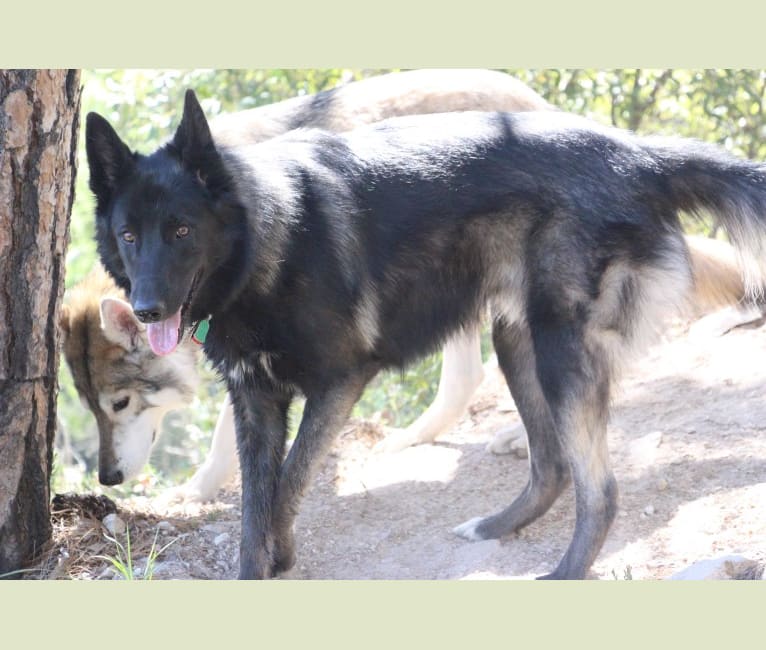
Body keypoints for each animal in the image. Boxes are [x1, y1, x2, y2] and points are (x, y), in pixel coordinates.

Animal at [85, 87, 766, 576]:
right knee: (552, 466)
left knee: (600, 490)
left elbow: (288, 484)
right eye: (129, 235)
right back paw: (495, 528)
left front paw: (282, 555)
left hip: (559, 352)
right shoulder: (257, 402)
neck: (266, 240)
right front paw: (259, 569)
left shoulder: (339, 383)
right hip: (517, 340)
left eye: (181, 231)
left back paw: (564, 573)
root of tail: (639, 154)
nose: (146, 310)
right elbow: (255, 506)